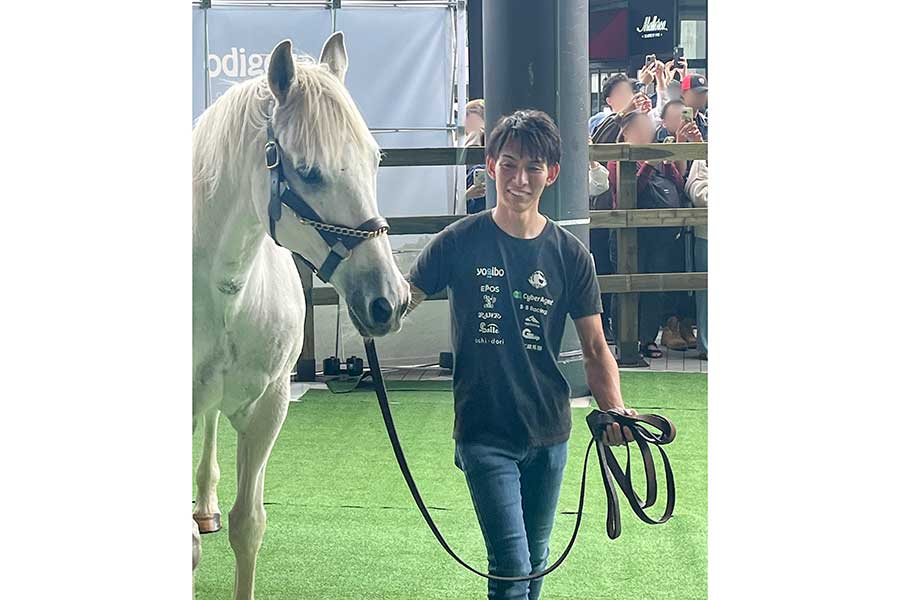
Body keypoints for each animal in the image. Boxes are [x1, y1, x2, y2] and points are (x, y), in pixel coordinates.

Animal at [192, 33, 409, 599]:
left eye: (376, 159)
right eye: (308, 171)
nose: (389, 300)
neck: (227, 293)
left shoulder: (268, 407)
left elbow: (249, 527)